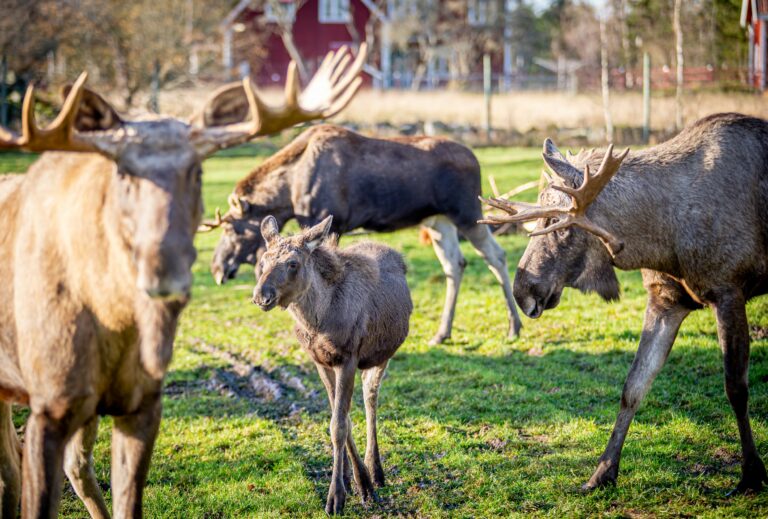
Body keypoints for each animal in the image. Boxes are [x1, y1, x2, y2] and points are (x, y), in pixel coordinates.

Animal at [0, 42, 368, 516]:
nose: (164, 270)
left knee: (57, 466)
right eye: (121, 173)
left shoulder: (142, 403)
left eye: (198, 170)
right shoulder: (49, 406)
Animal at [198, 124, 520, 346]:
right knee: (456, 264)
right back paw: (443, 332)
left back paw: (514, 326)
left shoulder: (332, 222)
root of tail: (475, 159)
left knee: (497, 256)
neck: (289, 192)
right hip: (437, 221)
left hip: (467, 213)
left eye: (230, 226)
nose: (217, 268)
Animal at [254, 214, 414, 516]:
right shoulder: (320, 362)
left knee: (371, 398)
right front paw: (354, 481)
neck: (317, 321)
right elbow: (343, 421)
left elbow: (338, 426)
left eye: (293, 263)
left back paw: (377, 470)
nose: (261, 296)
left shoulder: (347, 358)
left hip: (381, 356)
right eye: (263, 261)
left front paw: (340, 496)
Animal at [484, 114, 768, 496]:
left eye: (558, 223)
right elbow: (633, 387)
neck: (662, 240)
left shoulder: (728, 290)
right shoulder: (665, 300)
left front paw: (751, 473)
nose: (522, 291)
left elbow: (736, 388)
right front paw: (602, 472)